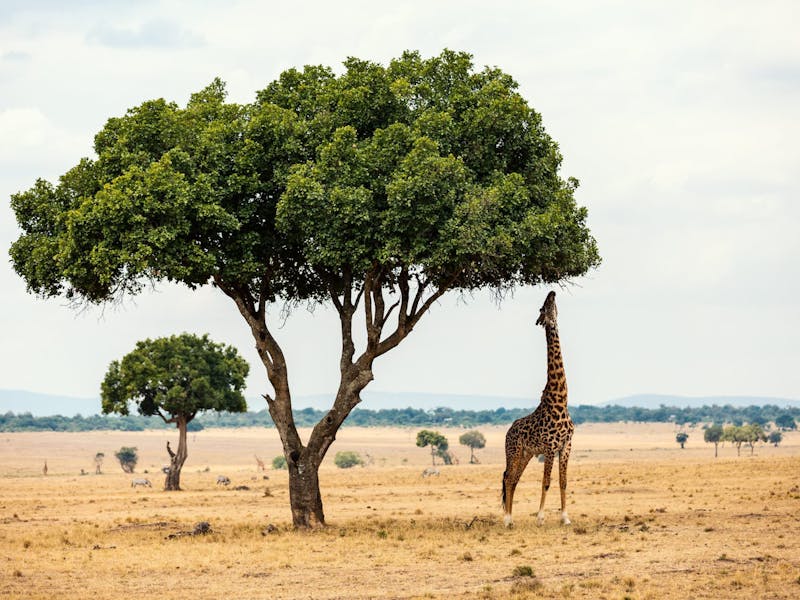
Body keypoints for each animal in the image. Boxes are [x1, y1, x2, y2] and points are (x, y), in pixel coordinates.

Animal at [502, 291, 574, 527]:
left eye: (551, 304)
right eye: (542, 308)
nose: (551, 292)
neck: (560, 401)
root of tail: (508, 431)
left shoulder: (566, 446)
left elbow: (563, 481)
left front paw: (565, 518)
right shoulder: (550, 447)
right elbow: (546, 481)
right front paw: (541, 518)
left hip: (526, 453)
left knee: (514, 479)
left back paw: (511, 518)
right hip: (514, 451)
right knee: (508, 477)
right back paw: (507, 519)